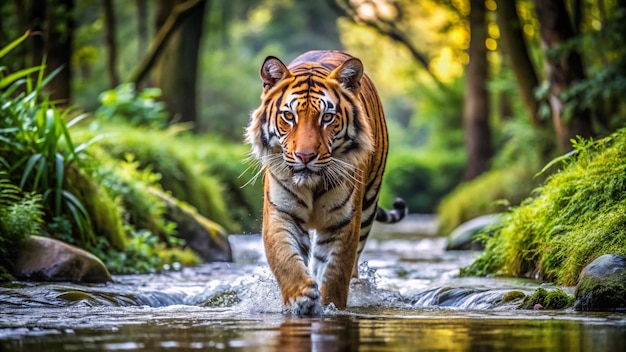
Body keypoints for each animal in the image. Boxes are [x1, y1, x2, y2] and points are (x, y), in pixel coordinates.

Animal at [244, 49, 404, 316]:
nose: (305, 156)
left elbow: (335, 272)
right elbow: (286, 260)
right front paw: (301, 297)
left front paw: (330, 306)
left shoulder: (342, 222)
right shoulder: (281, 213)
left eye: (327, 117)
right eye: (289, 116)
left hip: (368, 207)